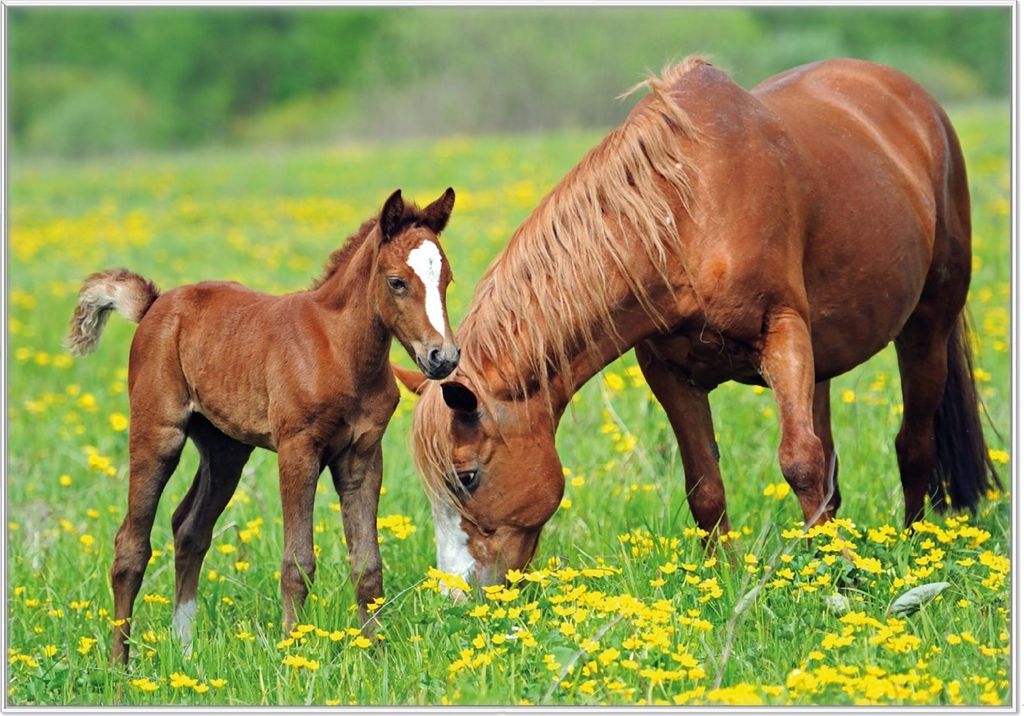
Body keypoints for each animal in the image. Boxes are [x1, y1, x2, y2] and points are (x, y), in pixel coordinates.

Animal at [68, 188, 460, 664]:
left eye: (447, 280)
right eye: (397, 281)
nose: (443, 357)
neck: (339, 350)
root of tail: (156, 304)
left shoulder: (363, 455)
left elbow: (368, 563)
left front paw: (376, 653)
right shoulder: (298, 449)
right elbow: (298, 561)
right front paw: (293, 650)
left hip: (225, 450)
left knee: (190, 528)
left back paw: (184, 649)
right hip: (158, 432)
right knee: (131, 544)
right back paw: (119, 665)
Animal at [402, 58, 999, 588]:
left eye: (467, 476)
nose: (457, 593)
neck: (688, 213)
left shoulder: (782, 332)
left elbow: (800, 462)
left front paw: (837, 578)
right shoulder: (669, 371)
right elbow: (706, 486)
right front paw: (724, 581)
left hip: (927, 326)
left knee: (912, 444)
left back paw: (913, 548)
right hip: (824, 360)